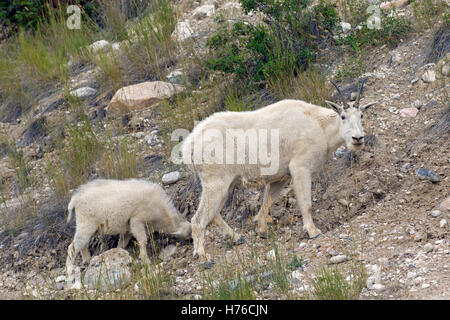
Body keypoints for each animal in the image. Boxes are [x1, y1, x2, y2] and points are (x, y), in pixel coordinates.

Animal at [182, 79, 376, 260]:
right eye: (343, 116)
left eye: (361, 115)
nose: (358, 139)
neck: (320, 126)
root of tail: (190, 144)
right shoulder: (300, 167)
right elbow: (306, 203)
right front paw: (313, 231)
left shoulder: (281, 177)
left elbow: (267, 202)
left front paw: (262, 231)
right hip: (215, 181)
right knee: (198, 219)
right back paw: (202, 255)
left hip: (226, 183)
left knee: (214, 213)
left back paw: (237, 237)